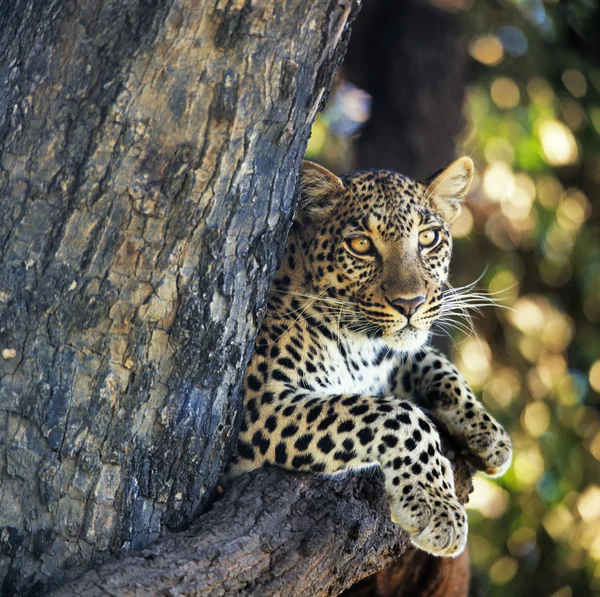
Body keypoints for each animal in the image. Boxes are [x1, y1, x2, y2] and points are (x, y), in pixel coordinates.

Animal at [225, 156, 510, 556]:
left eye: (428, 238)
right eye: (360, 244)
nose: (410, 304)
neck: (360, 343)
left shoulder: (388, 359)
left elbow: (435, 361)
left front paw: (489, 433)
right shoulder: (260, 402)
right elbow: (400, 416)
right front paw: (438, 508)